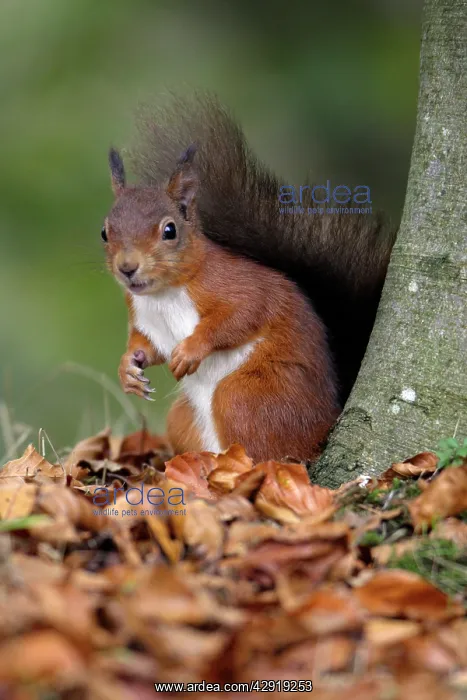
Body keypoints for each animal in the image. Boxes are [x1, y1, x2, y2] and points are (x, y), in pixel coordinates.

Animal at [102, 94, 395, 463]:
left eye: (170, 230)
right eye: (104, 232)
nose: (127, 267)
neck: (162, 296)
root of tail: (323, 428)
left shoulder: (233, 284)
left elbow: (242, 314)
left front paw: (190, 350)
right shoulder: (144, 317)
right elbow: (146, 345)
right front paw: (128, 368)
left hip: (247, 396)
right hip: (183, 418)